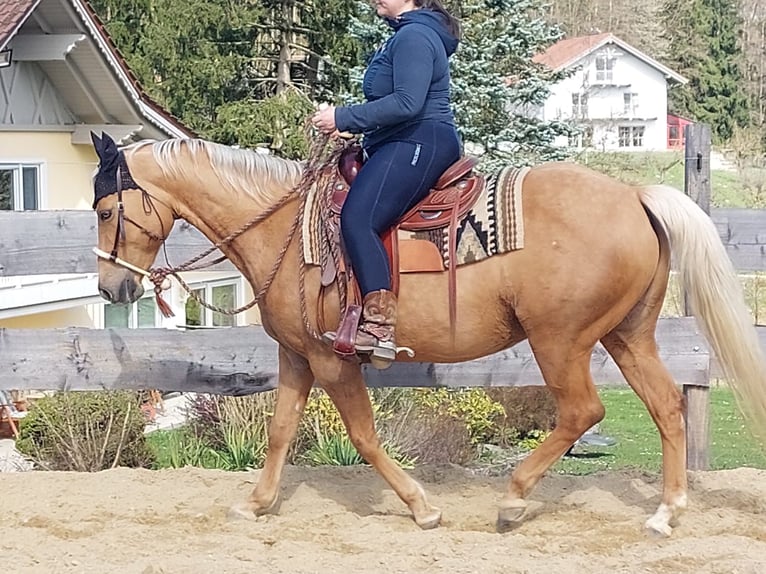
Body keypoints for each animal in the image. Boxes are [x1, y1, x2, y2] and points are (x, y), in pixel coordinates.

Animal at [89, 131, 766, 537]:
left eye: (105, 210)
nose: (111, 288)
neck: (285, 229)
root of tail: (634, 196)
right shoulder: (298, 357)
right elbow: (280, 432)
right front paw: (255, 503)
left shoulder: (335, 361)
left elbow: (363, 437)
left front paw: (421, 506)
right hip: (628, 335)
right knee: (667, 407)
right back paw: (665, 513)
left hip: (561, 341)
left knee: (582, 411)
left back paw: (514, 497)